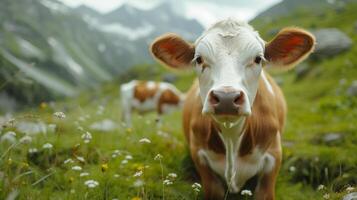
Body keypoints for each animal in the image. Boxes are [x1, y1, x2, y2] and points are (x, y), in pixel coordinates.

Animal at [150, 19, 314, 200]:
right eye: (199, 59)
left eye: (258, 59)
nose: (226, 98)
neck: (231, 138)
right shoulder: (199, 155)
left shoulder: (273, 156)